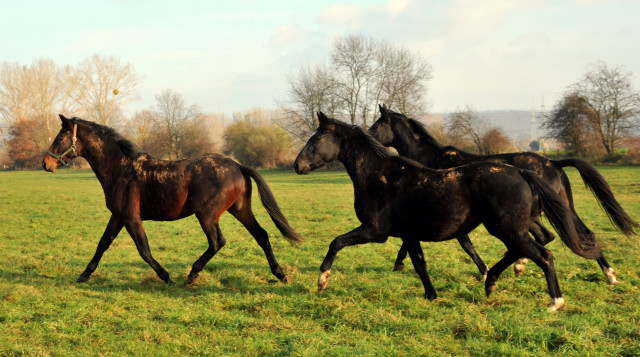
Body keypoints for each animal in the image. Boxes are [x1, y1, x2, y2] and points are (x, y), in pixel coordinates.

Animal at [43, 115, 302, 286]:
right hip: (240, 210)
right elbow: (103, 244)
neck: (121, 169)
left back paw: (192, 274)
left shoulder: (131, 217)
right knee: (262, 236)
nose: (46, 163)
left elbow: (144, 250)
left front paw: (165, 276)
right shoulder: (118, 216)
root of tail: (237, 165)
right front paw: (84, 274)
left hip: (207, 215)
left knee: (217, 242)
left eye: (60, 137)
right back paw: (280, 274)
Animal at [296, 111, 604, 308]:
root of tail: (522, 171)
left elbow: (336, 243)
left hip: (508, 229)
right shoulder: (409, 234)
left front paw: (322, 281)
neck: (380, 175)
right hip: (511, 228)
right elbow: (419, 264)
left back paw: (555, 301)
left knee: (544, 254)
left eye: (315, 140)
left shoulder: (374, 231)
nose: (297, 165)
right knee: (535, 247)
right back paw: (493, 282)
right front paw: (431, 295)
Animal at [368, 104, 636, 282]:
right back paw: (609, 274)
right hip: (559, 208)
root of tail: (554, 163)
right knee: (579, 235)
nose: (369, 140)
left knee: (553, 237)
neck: (430, 160)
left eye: (377, 124)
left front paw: (398, 264)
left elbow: (460, 244)